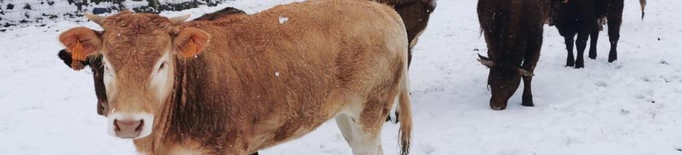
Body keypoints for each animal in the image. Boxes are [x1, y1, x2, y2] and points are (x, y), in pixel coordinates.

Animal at [57, 0, 410, 154]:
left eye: (162, 63)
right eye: (105, 64)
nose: (129, 123)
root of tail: (384, 9)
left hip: (369, 113)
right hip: (345, 115)